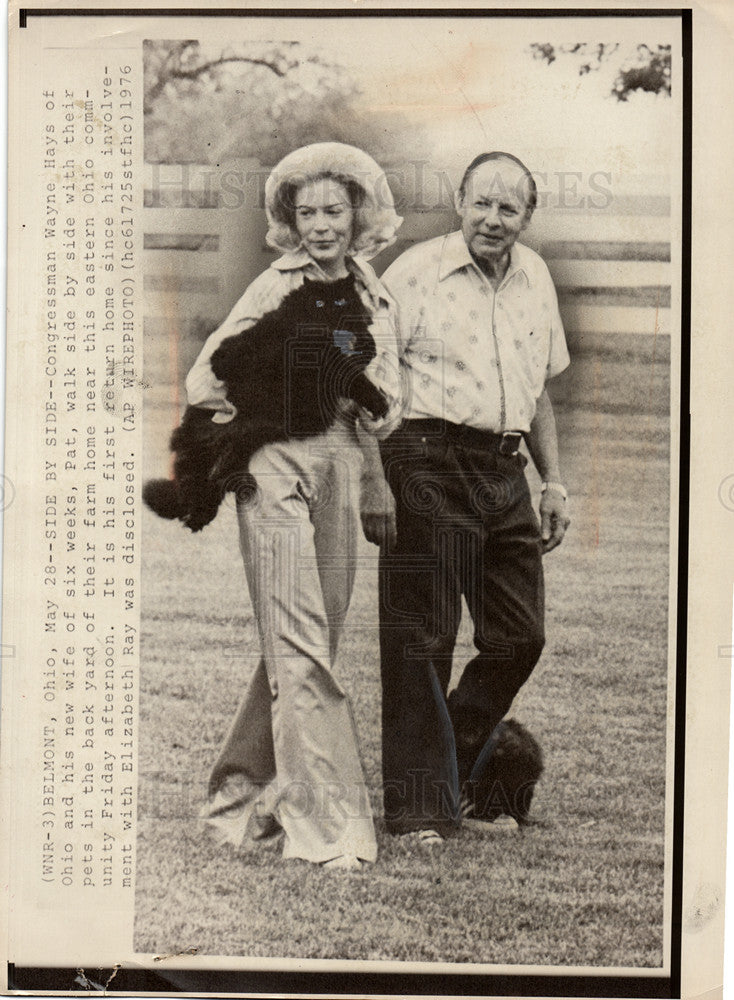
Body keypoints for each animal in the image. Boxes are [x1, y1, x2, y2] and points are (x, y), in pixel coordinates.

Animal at [140, 276, 388, 532]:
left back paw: (219, 500)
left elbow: (360, 370)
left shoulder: (339, 368)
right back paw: (198, 515)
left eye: (341, 301)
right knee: (194, 484)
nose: (330, 311)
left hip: (252, 438)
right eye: (318, 302)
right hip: (209, 443)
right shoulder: (234, 352)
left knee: (220, 475)